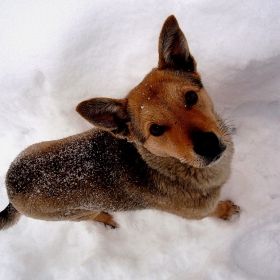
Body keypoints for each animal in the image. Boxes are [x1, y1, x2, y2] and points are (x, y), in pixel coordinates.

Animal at [0, 14, 241, 230]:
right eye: (155, 130)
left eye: (190, 97)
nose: (208, 145)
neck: (172, 167)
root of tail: (12, 188)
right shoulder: (200, 213)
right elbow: (216, 209)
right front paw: (227, 210)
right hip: (78, 212)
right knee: (92, 215)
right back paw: (106, 219)